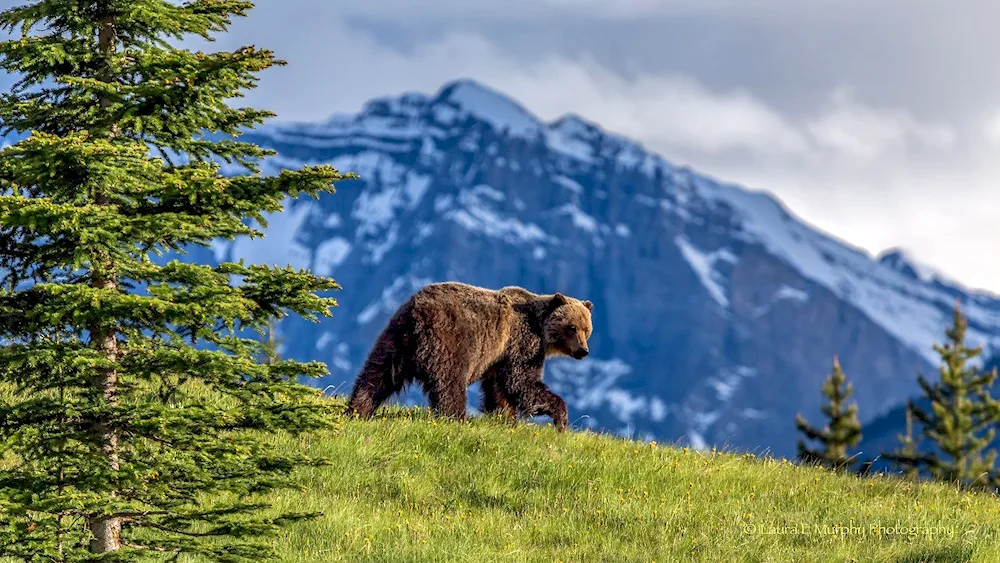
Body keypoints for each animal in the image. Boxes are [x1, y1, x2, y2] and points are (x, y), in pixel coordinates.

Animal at [346, 282, 592, 432]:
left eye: (587, 329)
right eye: (572, 327)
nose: (583, 350)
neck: (542, 329)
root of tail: (418, 313)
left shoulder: (498, 356)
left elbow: (498, 389)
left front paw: (504, 418)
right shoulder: (522, 342)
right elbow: (521, 382)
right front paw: (561, 418)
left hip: (397, 338)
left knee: (378, 374)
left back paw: (358, 409)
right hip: (451, 340)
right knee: (450, 383)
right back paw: (457, 419)